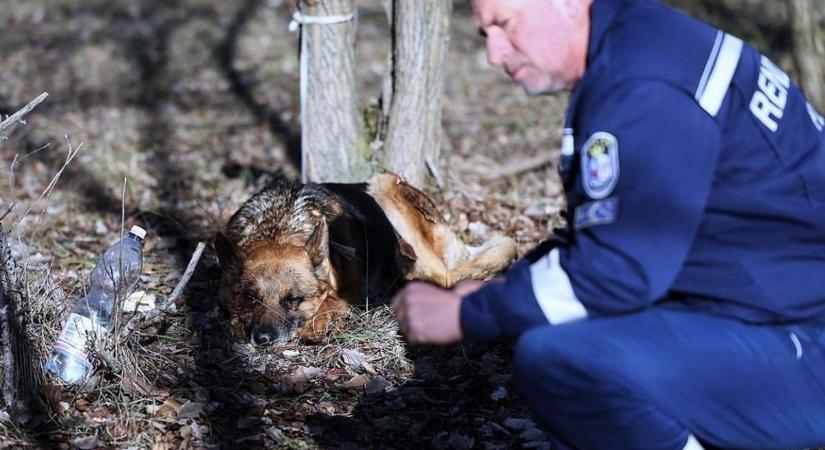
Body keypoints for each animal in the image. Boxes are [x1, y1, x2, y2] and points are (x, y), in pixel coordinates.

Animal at [216, 172, 520, 344]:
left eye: (293, 300)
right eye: (252, 298)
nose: (262, 340)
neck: (280, 228)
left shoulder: (351, 290)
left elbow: (332, 300)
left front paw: (319, 321)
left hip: (386, 183)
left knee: (443, 276)